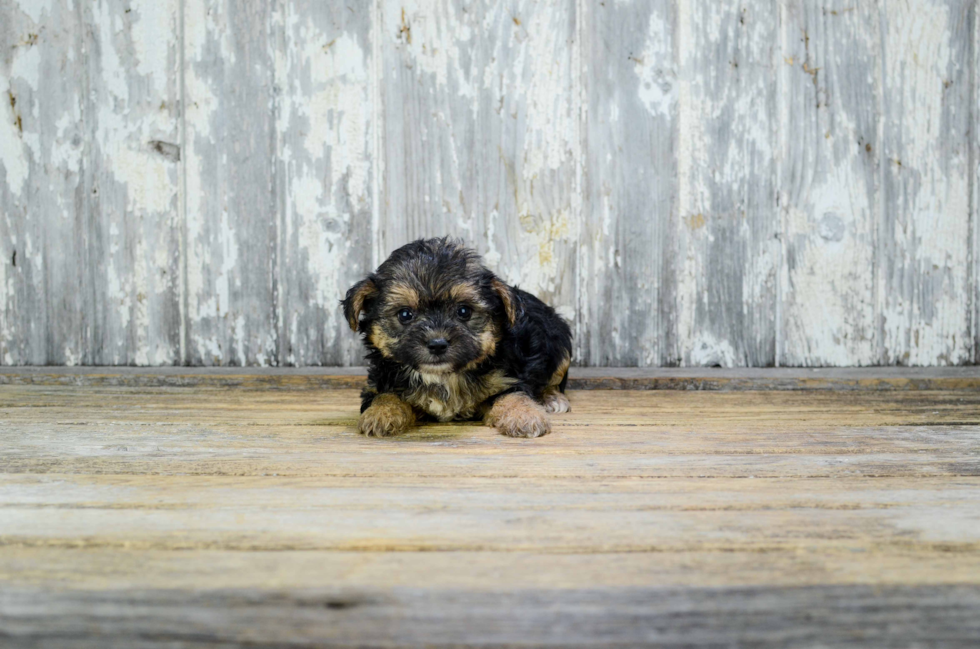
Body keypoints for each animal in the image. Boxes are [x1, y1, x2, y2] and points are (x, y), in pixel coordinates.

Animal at [344, 235, 576, 438]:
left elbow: (513, 395)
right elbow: (384, 395)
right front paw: (380, 414)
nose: (437, 344)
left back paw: (551, 398)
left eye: (464, 311)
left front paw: (525, 416)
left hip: (560, 343)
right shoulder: (381, 381)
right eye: (405, 314)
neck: (443, 376)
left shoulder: (508, 377)